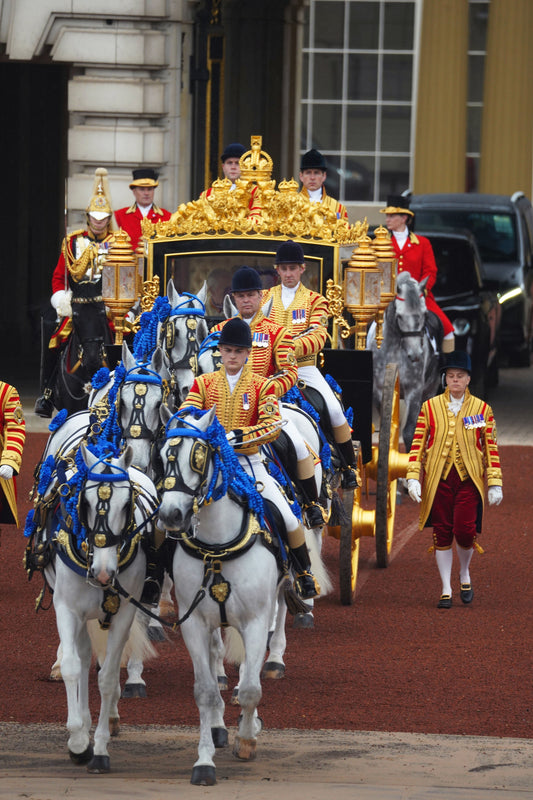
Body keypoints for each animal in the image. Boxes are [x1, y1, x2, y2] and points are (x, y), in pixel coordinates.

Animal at [40, 444, 159, 768]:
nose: (104, 573)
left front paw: (100, 749)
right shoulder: (67, 609)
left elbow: (106, 677)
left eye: (126, 504)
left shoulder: (124, 613)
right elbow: (72, 666)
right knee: (81, 658)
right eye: (87, 502)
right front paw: (78, 741)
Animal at [157, 410, 282, 784]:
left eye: (198, 456)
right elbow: (205, 690)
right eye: (161, 455)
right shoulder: (194, 622)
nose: (170, 515)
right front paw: (204, 761)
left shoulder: (256, 621)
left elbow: (252, 687)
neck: (217, 547)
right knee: (215, 664)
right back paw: (217, 726)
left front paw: (247, 740)